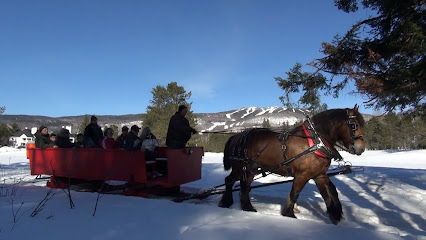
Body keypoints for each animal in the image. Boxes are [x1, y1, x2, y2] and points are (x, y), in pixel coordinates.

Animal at [218, 105, 364, 225]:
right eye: (353, 125)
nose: (361, 148)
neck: (315, 141)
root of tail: (236, 136)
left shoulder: (319, 175)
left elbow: (331, 192)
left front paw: (335, 215)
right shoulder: (302, 175)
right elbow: (295, 193)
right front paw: (289, 214)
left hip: (250, 170)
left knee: (243, 186)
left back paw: (245, 207)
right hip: (241, 168)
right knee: (230, 181)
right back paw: (228, 203)